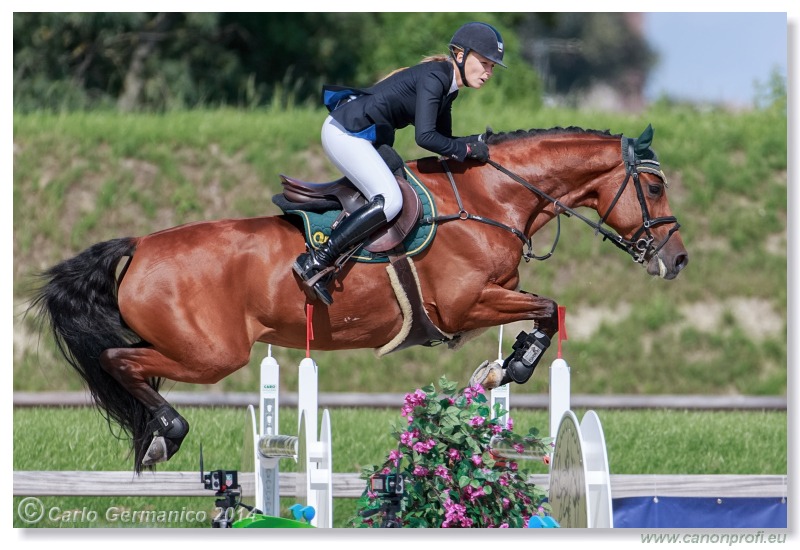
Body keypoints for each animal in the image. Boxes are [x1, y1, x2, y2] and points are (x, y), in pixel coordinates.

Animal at [32, 125, 688, 474]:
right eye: (654, 185)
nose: (676, 260)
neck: (490, 199)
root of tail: (140, 245)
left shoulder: (489, 299)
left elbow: (549, 311)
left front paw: (501, 368)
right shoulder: (466, 305)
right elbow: (550, 309)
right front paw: (509, 367)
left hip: (186, 344)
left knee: (128, 363)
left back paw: (153, 434)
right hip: (212, 354)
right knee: (119, 361)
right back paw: (166, 432)